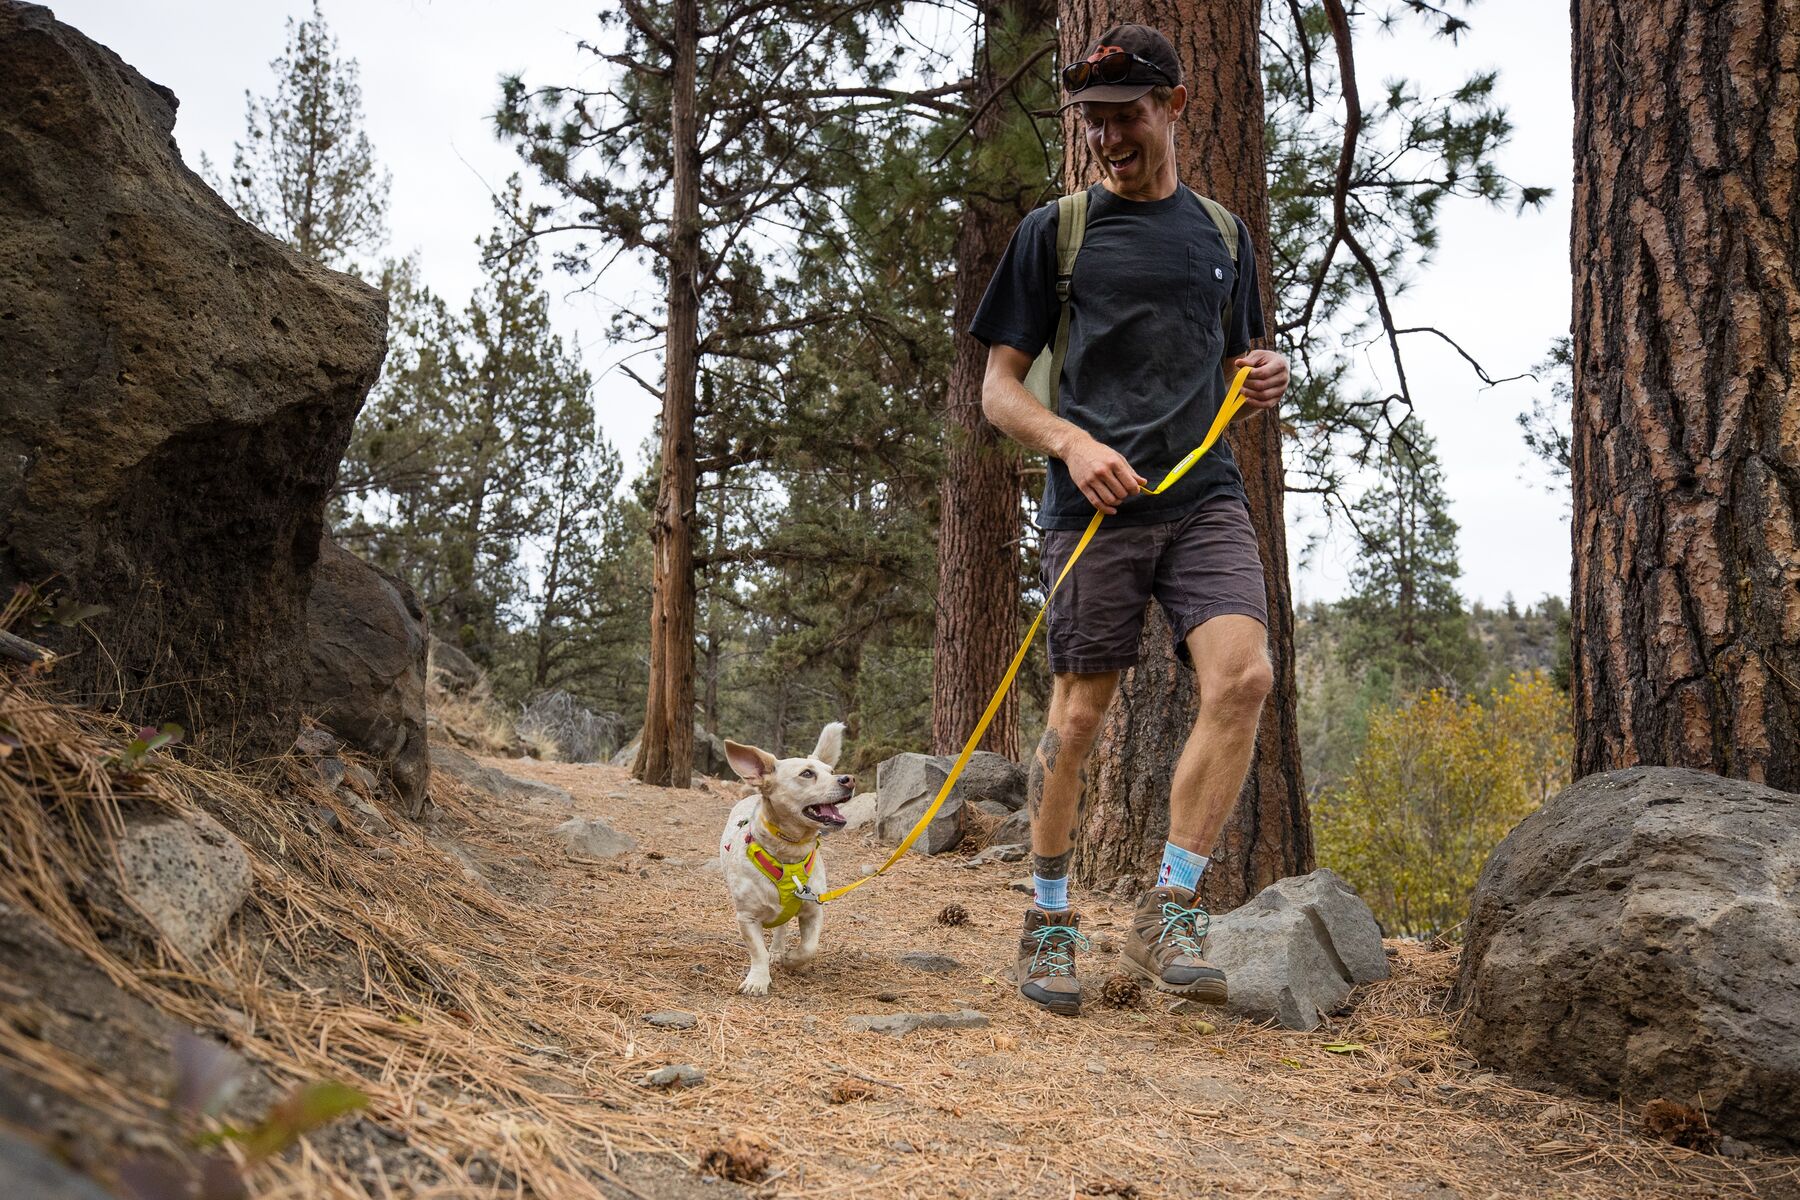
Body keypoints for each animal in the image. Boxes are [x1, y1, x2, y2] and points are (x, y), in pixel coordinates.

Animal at [716, 723, 849, 993]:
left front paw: (790, 959)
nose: (848, 779)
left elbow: (809, 947)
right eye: (807, 774)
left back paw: (779, 951)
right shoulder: (747, 917)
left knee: (782, 927)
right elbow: (757, 951)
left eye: (831, 771)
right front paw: (757, 980)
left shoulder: (813, 909)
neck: (789, 854)